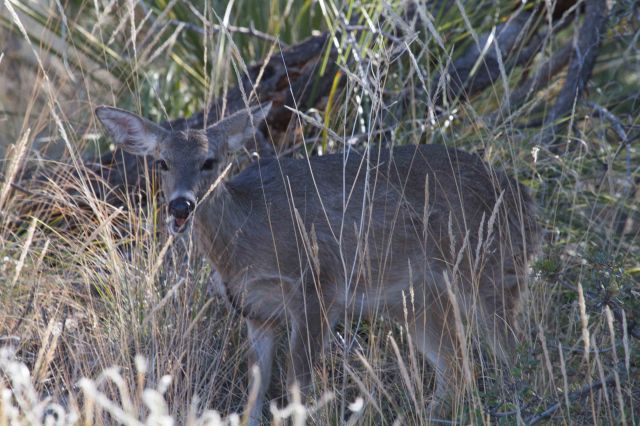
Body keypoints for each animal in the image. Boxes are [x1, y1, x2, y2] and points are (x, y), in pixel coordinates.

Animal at [96, 102, 539, 423]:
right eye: (162, 162)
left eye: (210, 161)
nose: (181, 205)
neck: (246, 240)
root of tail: (522, 196)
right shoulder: (256, 312)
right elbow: (255, 392)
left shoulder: (317, 287)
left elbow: (297, 384)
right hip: (418, 299)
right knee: (458, 365)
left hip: (490, 269)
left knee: (515, 350)